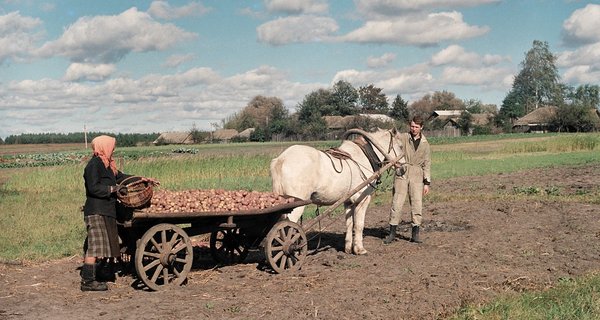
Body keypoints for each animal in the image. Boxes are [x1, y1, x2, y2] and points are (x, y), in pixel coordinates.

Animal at [270, 127, 404, 255]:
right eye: (401, 146)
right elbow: (359, 225)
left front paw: (349, 248)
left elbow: (349, 224)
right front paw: (360, 249)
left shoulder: (348, 201)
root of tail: (281, 159)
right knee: (288, 228)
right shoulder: (363, 199)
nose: (403, 169)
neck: (364, 156)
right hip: (295, 206)